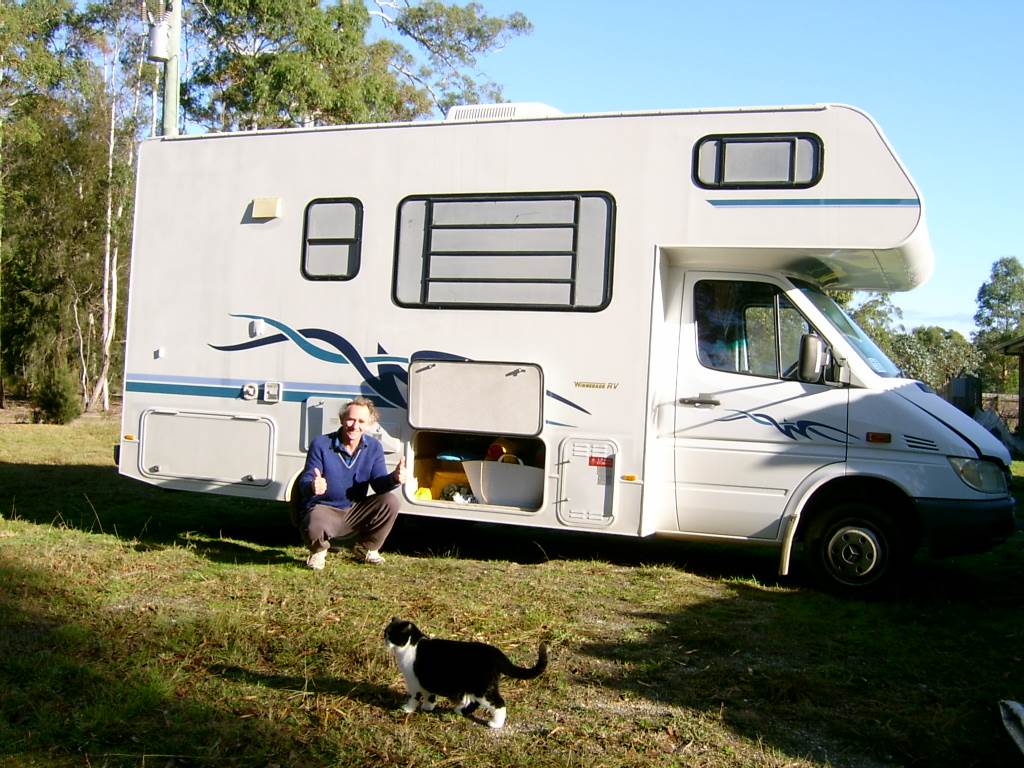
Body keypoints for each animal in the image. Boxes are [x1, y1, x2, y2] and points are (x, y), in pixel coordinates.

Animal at [384, 617, 548, 729]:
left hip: (482, 689)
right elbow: (430, 696)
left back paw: (495, 724)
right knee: (475, 703)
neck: (410, 646)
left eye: (391, 635)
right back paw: (460, 710)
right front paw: (428, 708)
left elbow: (414, 698)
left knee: (499, 704)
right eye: (385, 633)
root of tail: (497, 653)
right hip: (475, 688)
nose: (384, 639)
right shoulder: (427, 681)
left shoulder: (414, 682)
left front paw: (407, 709)